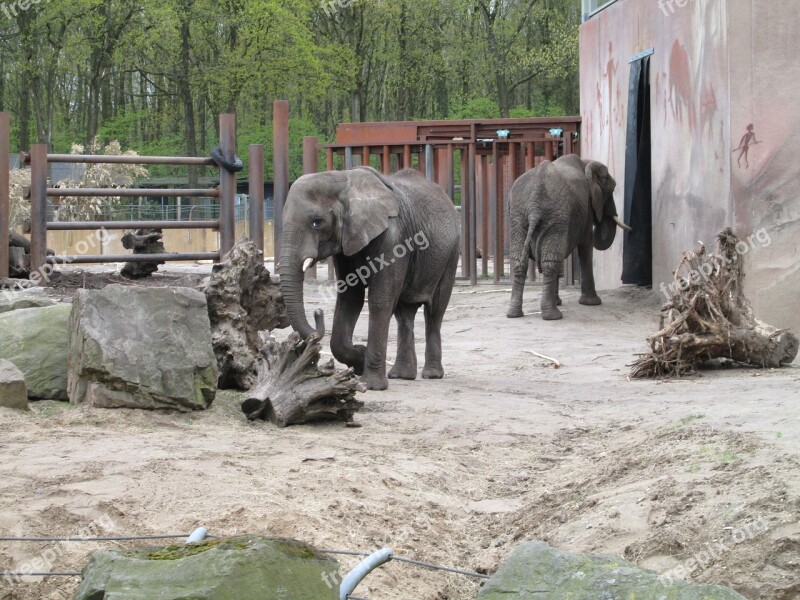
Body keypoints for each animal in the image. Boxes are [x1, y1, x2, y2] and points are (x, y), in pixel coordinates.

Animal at [278, 165, 460, 390]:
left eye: (316, 223)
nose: (318, 312)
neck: (343, 179)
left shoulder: (393, 236)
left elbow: (380, 299)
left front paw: (371, 385)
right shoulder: (347, 242)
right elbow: (350, 297)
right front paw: (359, 361)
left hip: (451, 253)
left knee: (435, 310)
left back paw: (432, 375)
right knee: (404, 314)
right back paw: (401, 375)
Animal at [506, 155, 632, 324]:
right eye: (611, 190)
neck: (586, 163)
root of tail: (534, 204)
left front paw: (559, 301)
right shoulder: (586, 208)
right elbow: (586, 245)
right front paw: (592, 303)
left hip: (519, 217)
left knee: (522, 261)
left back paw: (514, 314)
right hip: (554, 215)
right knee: (550, 261)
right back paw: (552, 316)